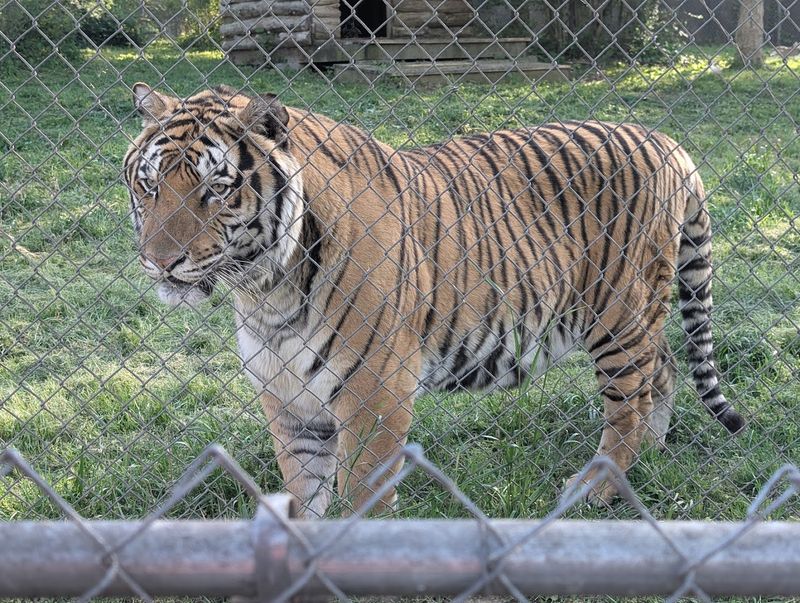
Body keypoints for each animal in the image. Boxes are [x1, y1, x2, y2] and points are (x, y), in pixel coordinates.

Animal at [123, 83, 744, 518]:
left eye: (216, 189)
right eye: (149, 185)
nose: (159, 261)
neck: (265, 290)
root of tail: (664, 140)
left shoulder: (375, 389)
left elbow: (363, 495)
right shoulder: (288, 398)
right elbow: (302, 495)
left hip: (618, 311)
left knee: (630, 399)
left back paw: (600, 484)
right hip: (636, 317)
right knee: (662, 369)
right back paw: (650, 455)